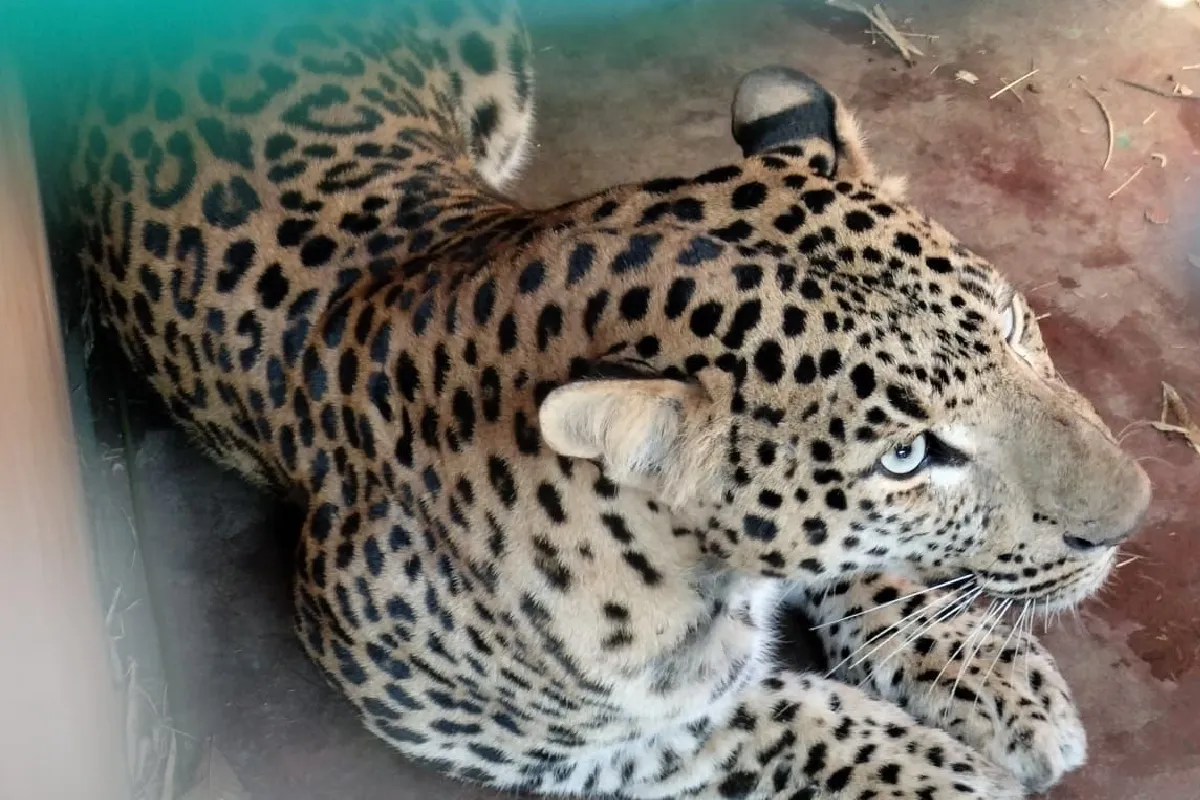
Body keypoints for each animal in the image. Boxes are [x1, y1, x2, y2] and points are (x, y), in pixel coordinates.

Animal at [64, 1, 1152, 798]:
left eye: (1014, 326)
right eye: (908, 455)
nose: (1132, 517)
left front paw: (991, 674)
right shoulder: (561, 738)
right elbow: (801, 716)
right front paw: (954, 775)